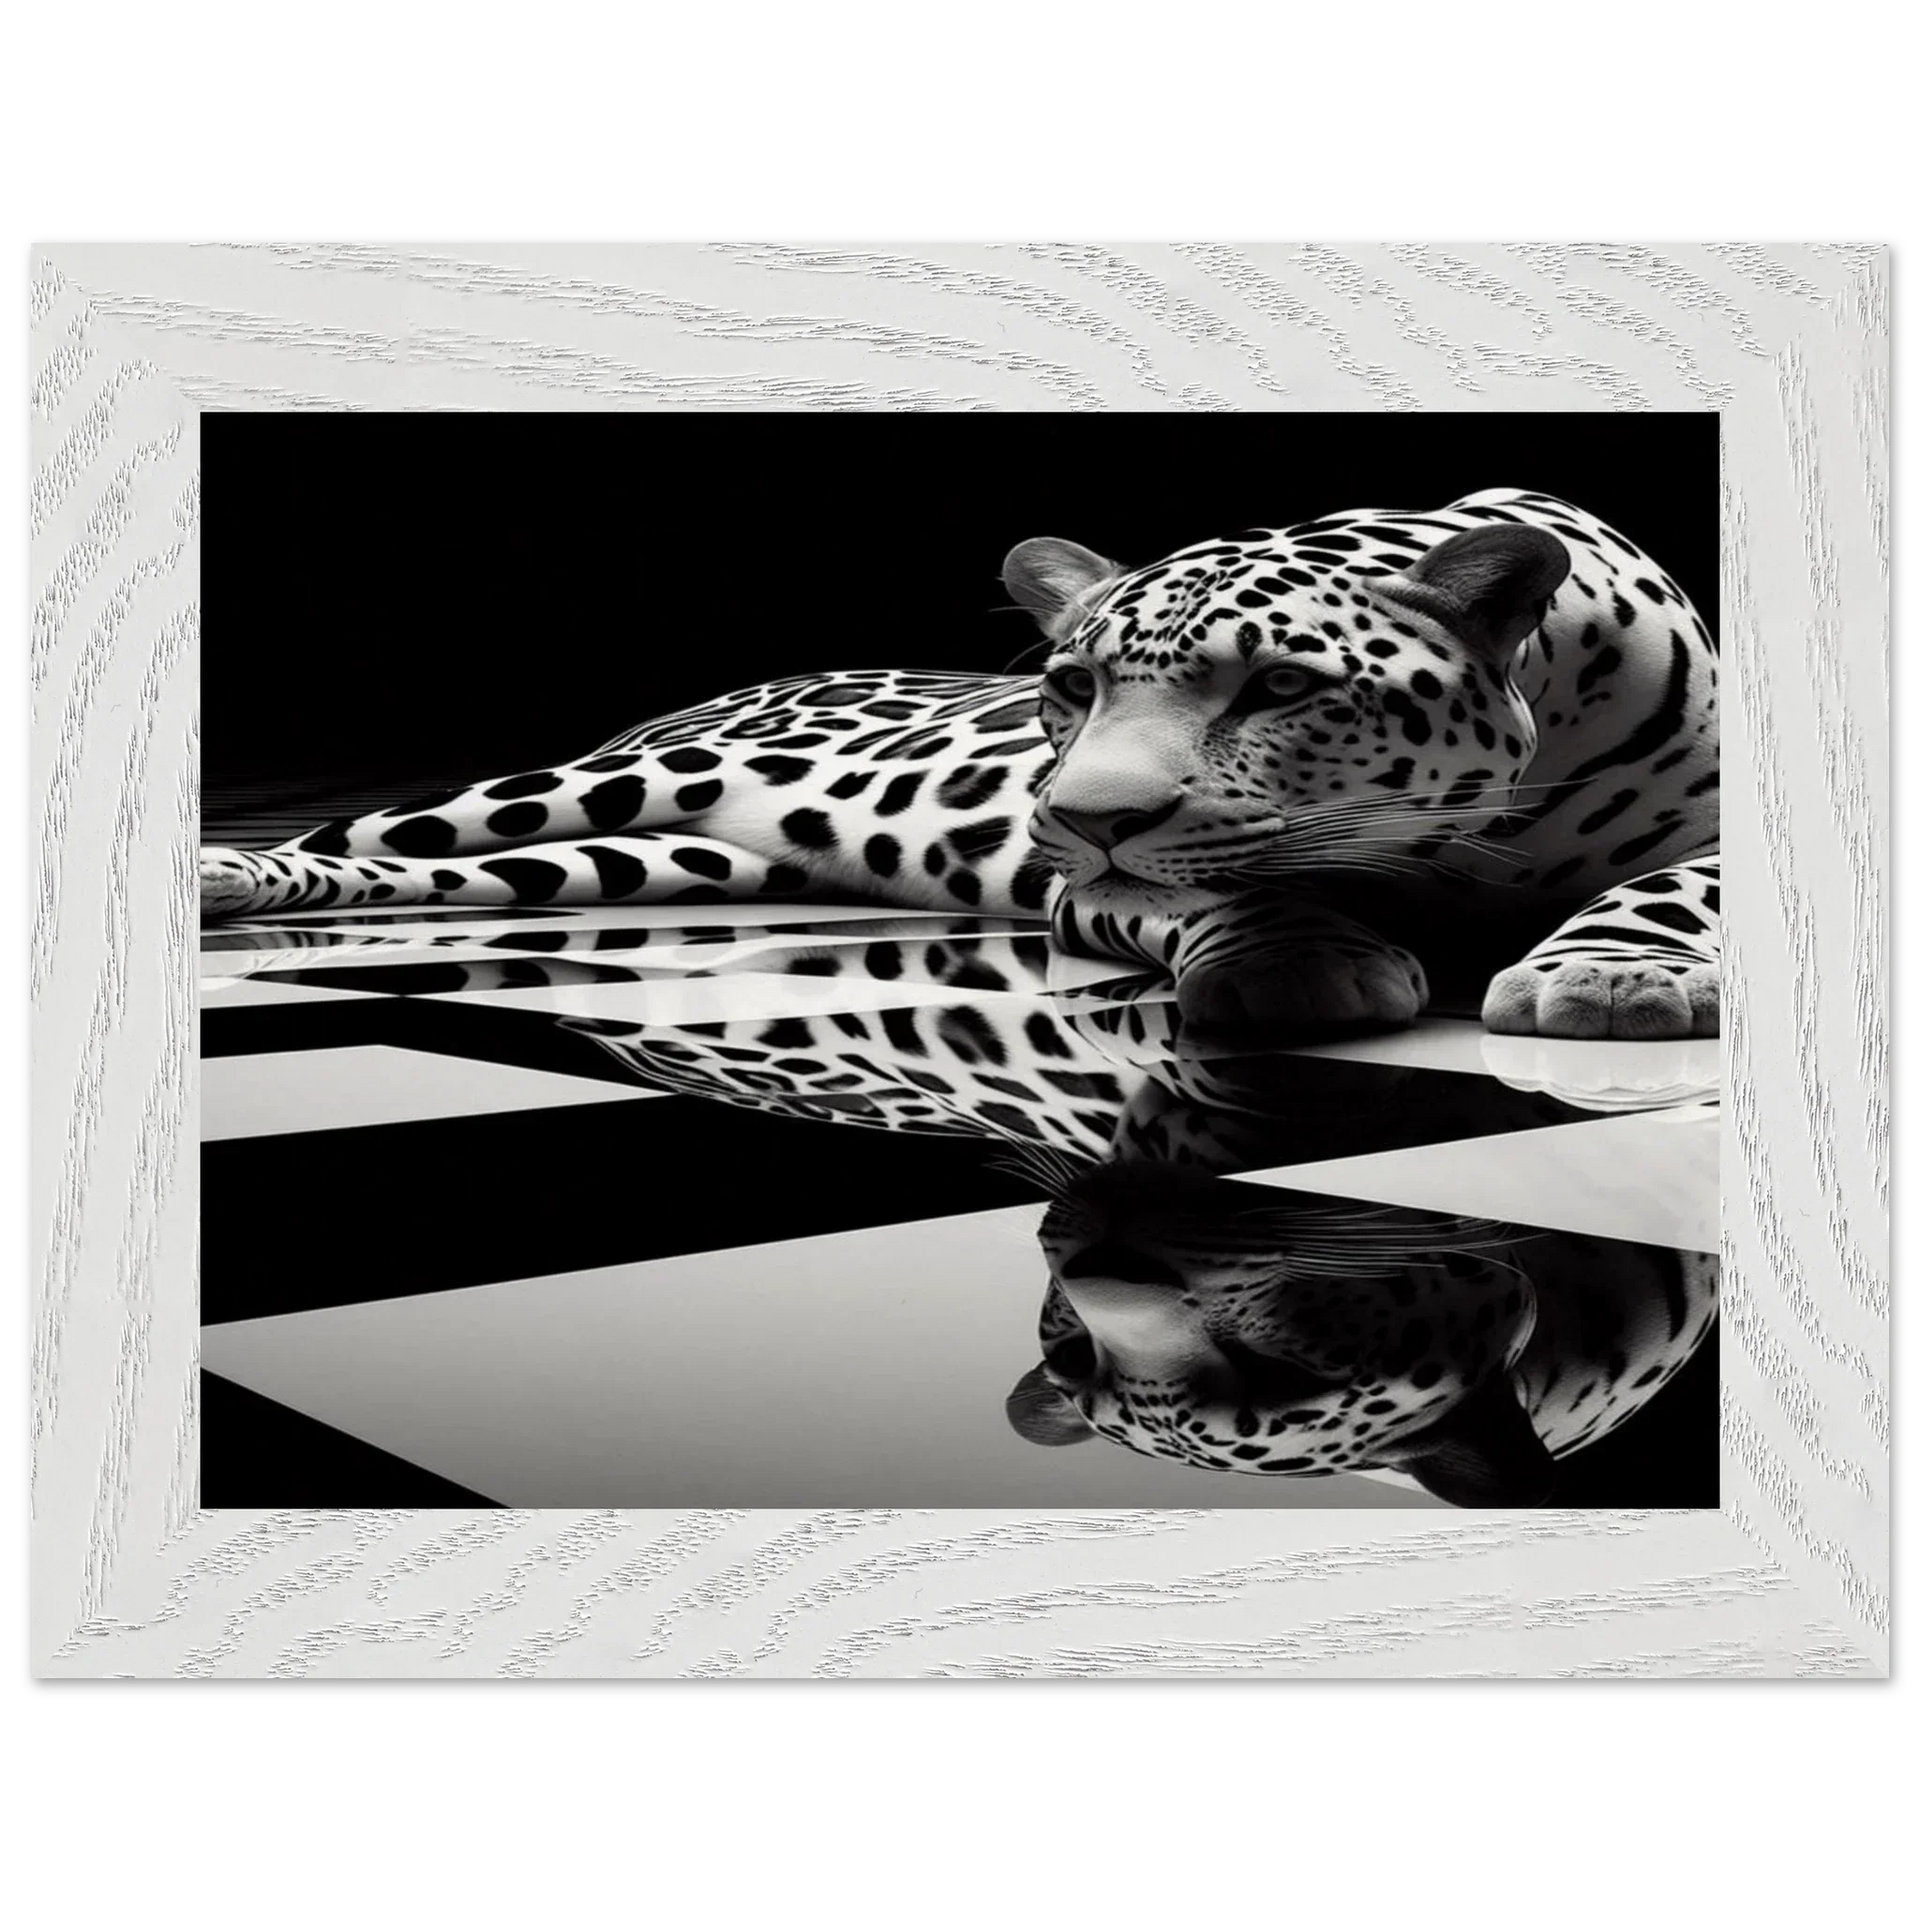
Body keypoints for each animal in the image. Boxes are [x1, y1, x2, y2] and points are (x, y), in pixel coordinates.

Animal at [200, 488, 1720, 1040]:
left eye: (1283, 687)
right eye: (1072, 688)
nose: (1081, 815)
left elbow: (1674, 887)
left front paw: (1611, 976)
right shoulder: (1094, 889)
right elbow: (1222, 887)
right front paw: (1301, 962)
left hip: (642, 857)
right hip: (595, 788)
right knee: (364, 837)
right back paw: (229, 876)